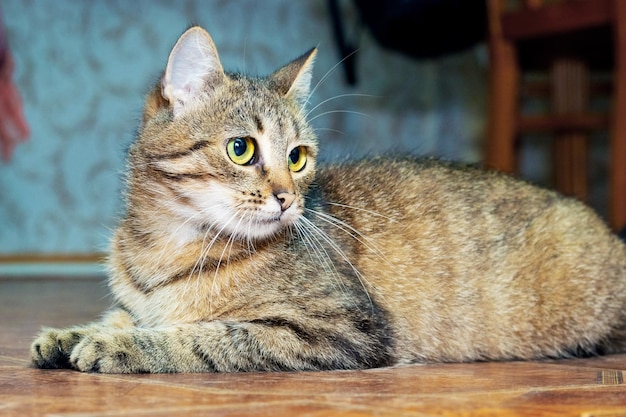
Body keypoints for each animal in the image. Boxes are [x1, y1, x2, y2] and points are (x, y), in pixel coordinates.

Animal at [31, 25, 624, 370]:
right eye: (241, 149)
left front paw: (119, 346)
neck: (164, 248)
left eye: (297, 157)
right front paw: (71, 333)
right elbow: (126, 316)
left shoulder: (342, 328)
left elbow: (203, 336)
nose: (287, 198)